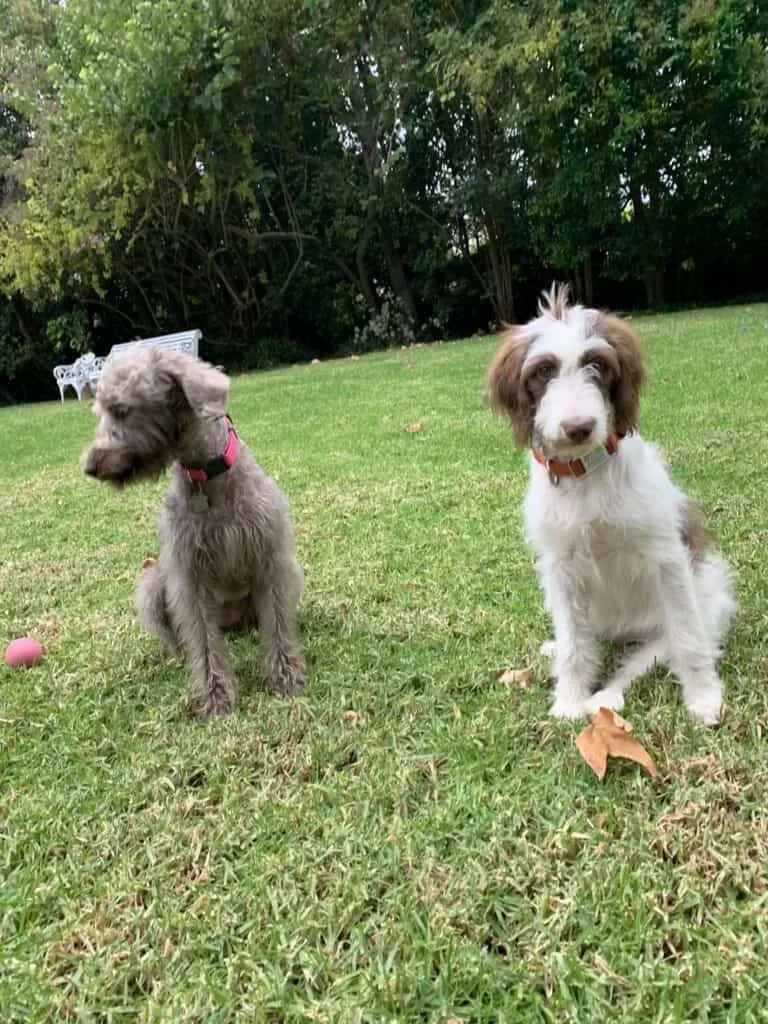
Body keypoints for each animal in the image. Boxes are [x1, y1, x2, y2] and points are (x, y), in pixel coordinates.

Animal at [83, 348, 307, 716]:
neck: (206, 476)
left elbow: (277, 623)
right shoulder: (188, 574)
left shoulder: (270, 559)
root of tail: (231, 622)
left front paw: (286, 676)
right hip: (153, 585)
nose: (90, 466)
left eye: (121, 410)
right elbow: (202, 638)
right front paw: (216, 696)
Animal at [489, 284, 737, 724]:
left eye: (597, 365)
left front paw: (705, 698)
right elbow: (574, 648)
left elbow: (689, 639)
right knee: (581, 640)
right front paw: (568, 700)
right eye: (543, 372)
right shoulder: (561, 569)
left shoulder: (666, 559)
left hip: (672, 627)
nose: (578, 427)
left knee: (646, 660)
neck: (584, 476)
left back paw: (605, 699)